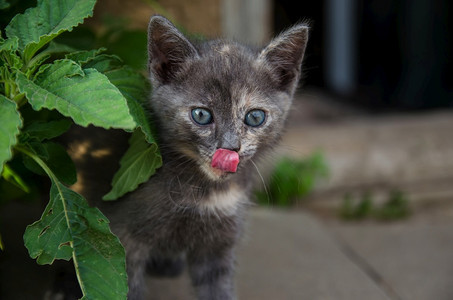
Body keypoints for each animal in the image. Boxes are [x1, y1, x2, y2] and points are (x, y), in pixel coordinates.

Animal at [90, 15, 308, 300]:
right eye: (202, 115)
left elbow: (217, 289)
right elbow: (124, 285)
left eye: (255, 117)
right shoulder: (122, 238)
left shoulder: (219, 245)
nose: (230, 148)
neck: (204, 192)